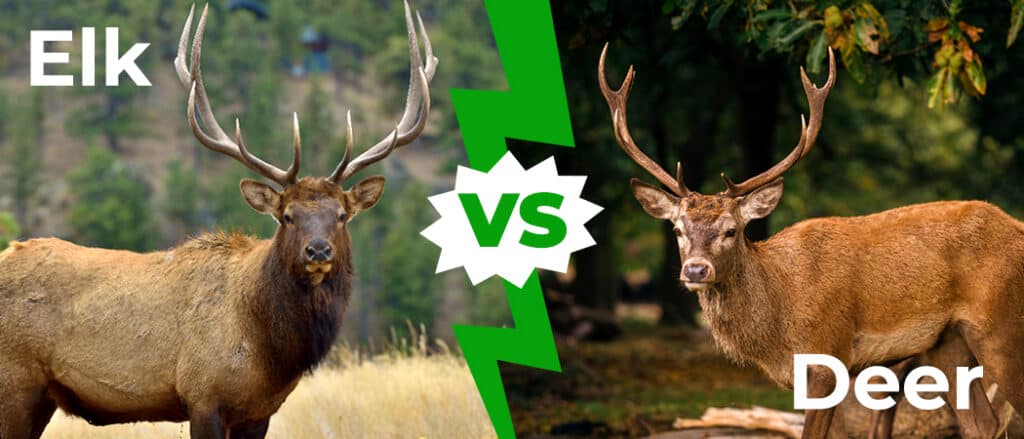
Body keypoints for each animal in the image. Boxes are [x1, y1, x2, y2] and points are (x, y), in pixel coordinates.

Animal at [0, 3, 436, 438]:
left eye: (342, 215)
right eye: (287, 216)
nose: (318, 250)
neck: (268, 351)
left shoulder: (260, 411)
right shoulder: (203, 395)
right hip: (16, 384)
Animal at [598, 44, 1024, 439]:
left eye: (731, 230)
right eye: (678, 230)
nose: (696, 270)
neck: (778, 321)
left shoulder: (826, 358)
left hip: (1002, 325)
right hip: (946, 342)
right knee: (982, 424)